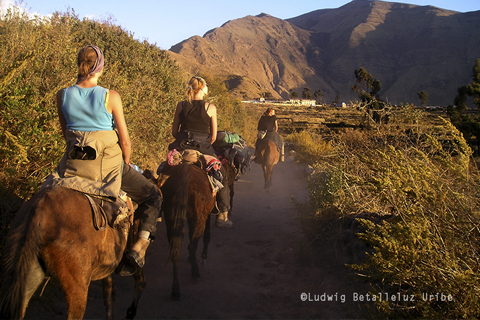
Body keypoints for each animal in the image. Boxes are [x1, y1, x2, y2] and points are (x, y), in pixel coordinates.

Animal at [0, 186, 141, 318]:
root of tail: (39, 211)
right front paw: (131, 312)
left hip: (27, 274)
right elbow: (139, 280)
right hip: (77, 284)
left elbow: (109, 294)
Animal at [156, 164, 216, 302]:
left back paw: (175, 289)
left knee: (175, 249)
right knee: (191, 246)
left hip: (171, 218)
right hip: (200, 218)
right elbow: (206, 236)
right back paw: (195, 272)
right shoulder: (207, 214)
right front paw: (203, 257)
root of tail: (184, 172)